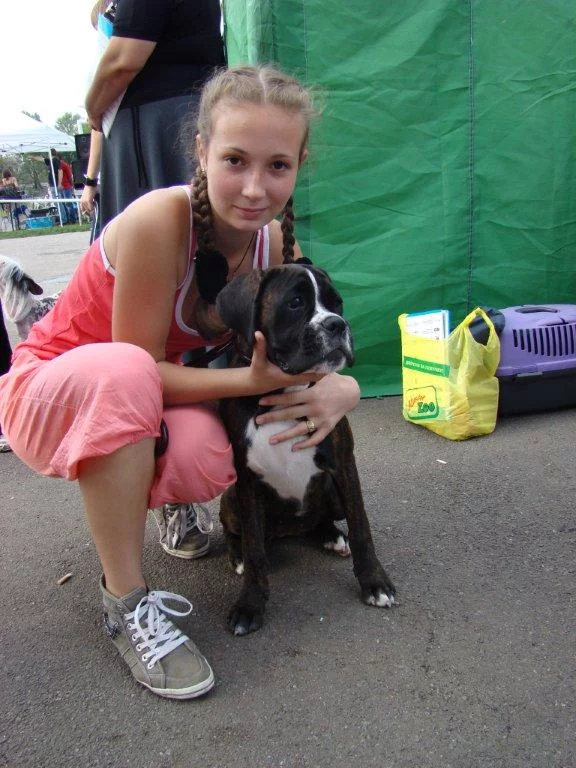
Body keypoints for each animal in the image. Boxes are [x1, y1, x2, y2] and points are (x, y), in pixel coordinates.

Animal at [207, 261, 396, 636]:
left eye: (337, 303)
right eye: (295, 303)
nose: (337, 324)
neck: (283, 391)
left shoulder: (344, 466)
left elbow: (362, 528)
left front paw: (375, 582)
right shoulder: (246, 482)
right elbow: (254, 548)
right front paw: (250, 604)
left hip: (332, 493)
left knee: (323, 520)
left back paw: (331, 536)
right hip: (231, 499)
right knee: (238, 534)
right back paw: (237, 556)